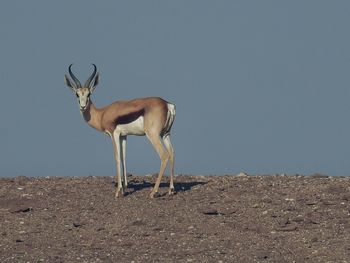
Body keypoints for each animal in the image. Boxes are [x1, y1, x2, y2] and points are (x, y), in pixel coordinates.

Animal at [63, 65, 175, 199]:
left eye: (89, 94)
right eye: (77, 94)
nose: (83, 106)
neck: (102, 114)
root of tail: (167, 104)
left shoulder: (114, 134)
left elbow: (117, 157)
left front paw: (118, 191)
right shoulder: (124, 136)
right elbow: (123, 157)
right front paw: (124, 189)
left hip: (153, 135)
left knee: (164, 155)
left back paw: (154, 192)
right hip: (166, 134)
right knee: (172, 153)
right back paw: (171, 190)